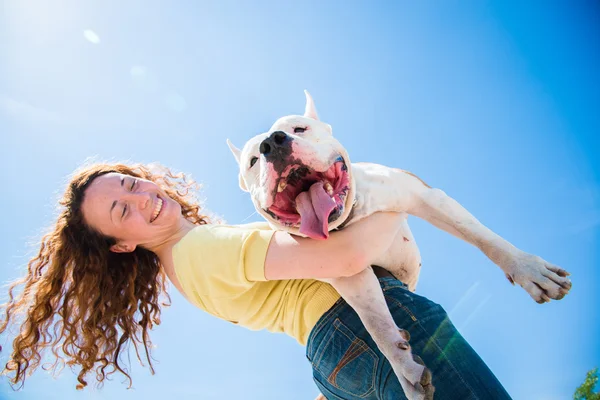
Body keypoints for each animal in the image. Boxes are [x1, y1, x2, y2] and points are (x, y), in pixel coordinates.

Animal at [229, 91, 572, 400]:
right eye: (253, 160)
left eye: (299, 129)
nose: (273, 143)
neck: (352, 215)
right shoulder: (351, 273)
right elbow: (377, 324)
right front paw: (406, 369)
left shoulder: (426, 197)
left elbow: (482, 237)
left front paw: (530, 271)